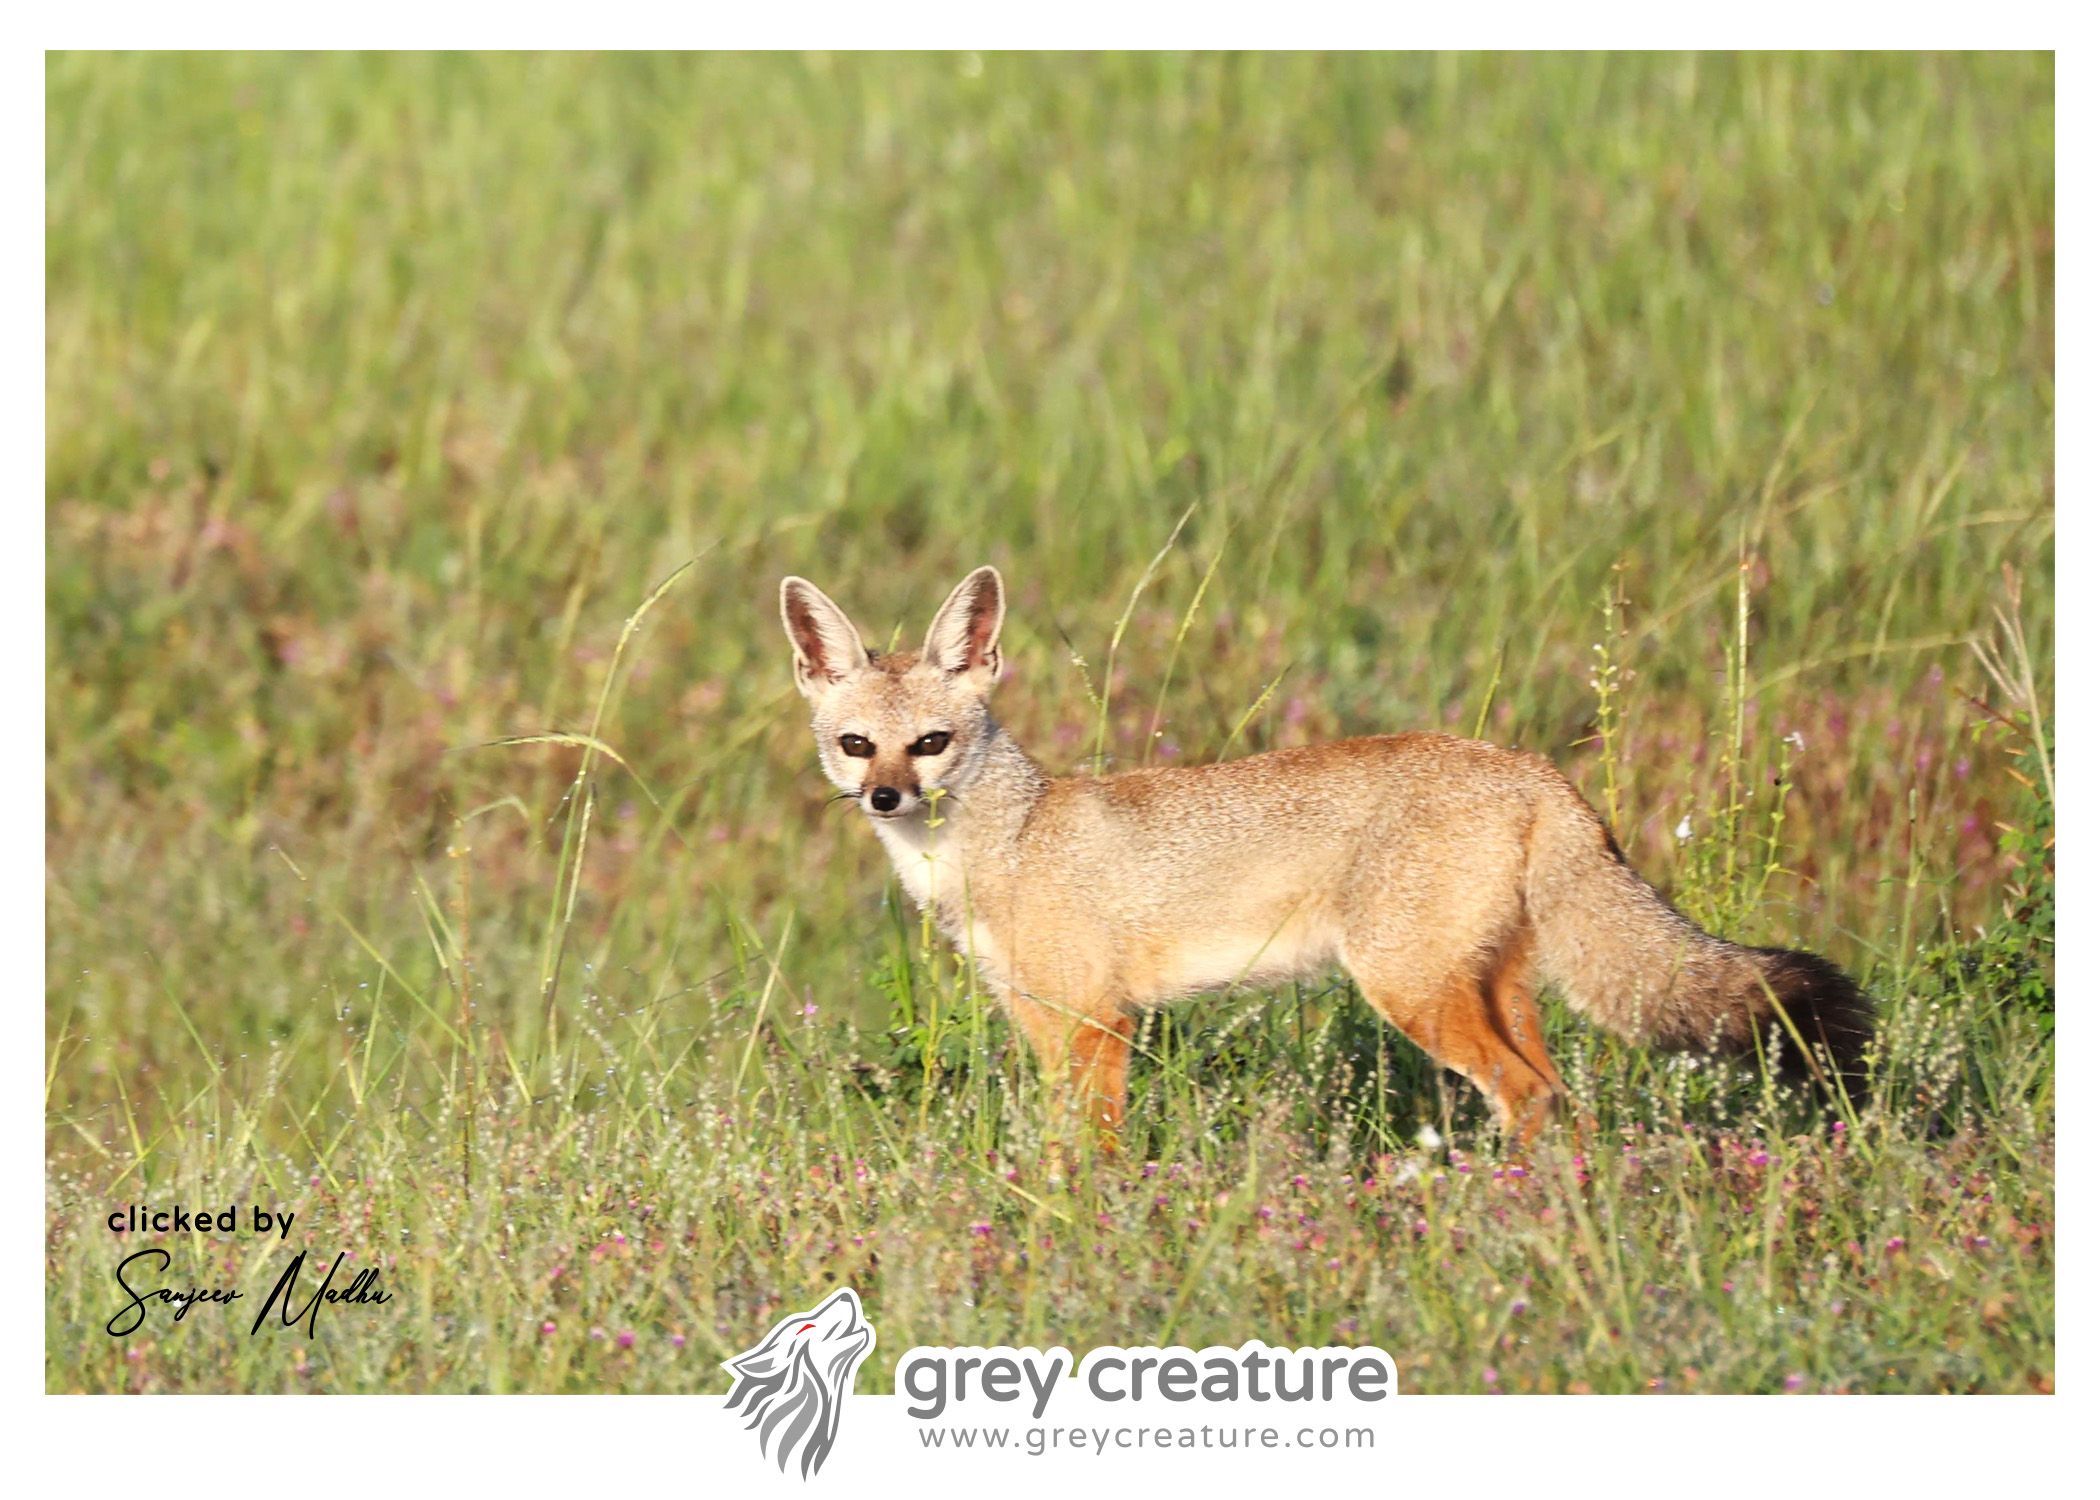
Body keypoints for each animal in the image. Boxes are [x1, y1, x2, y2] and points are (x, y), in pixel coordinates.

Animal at [780, 564, 1872, 1147]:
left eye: (931, 744)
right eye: (857, 744)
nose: (886, 797)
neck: (1008, 840)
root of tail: (1529, 768)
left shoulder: (1094, 1025)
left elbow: (1086, 1158)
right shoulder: (1051, 1028)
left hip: (1412, 991)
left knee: (1530, 1098)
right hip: (1497, 991)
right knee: (1563, 1103)